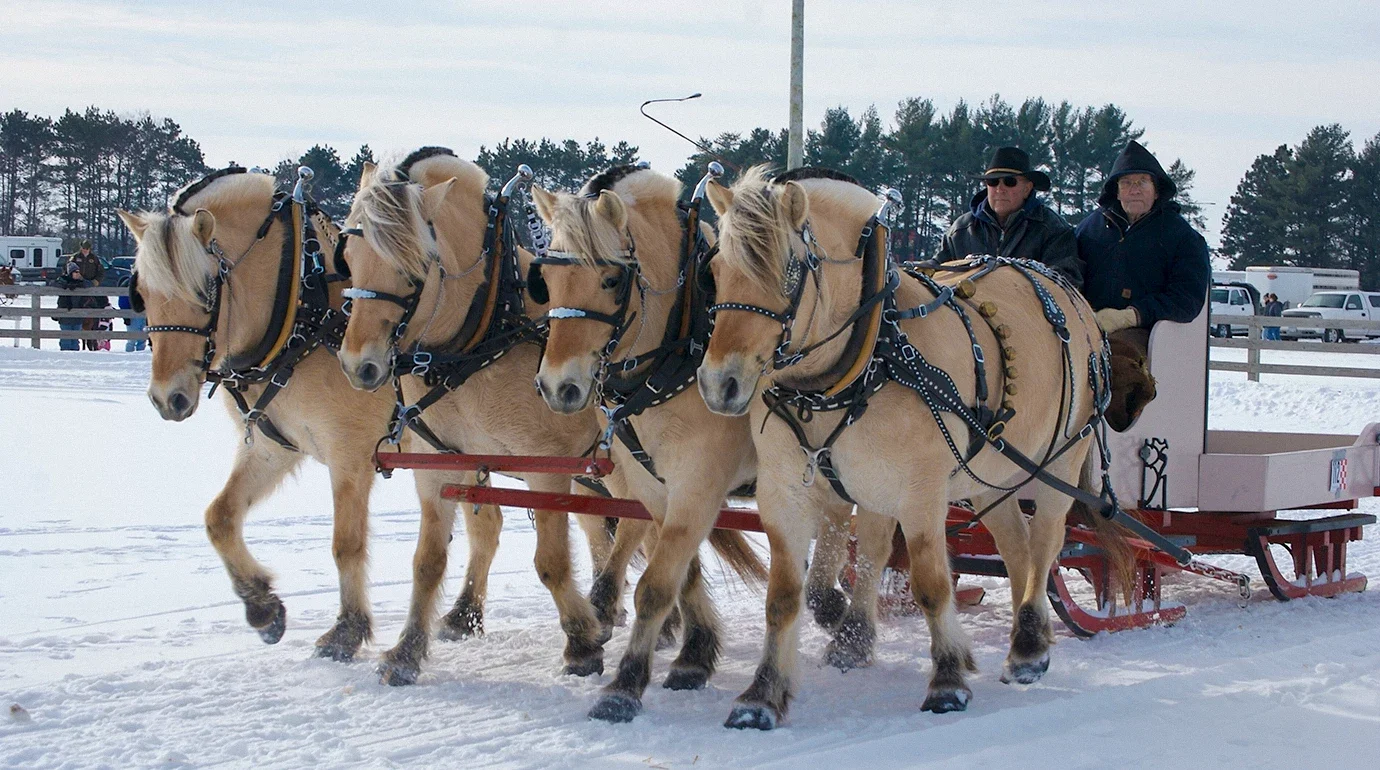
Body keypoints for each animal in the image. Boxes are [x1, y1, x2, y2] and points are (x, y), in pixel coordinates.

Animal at [115, 169, 528, 663]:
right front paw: (263, 608)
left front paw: (346, 631)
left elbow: (346, 544)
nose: (167, 398)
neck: (304, 313)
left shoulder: (350, 455)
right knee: (488, 525)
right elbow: (220, 517)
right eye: (140, 293)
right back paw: (464, 615)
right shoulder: (273, 447)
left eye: (204, 290)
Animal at [334, 149, 764, 686]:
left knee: (638, 530)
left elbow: (552, 562)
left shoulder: (548, 465)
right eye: (348, 257)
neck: (480, 336)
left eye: (410, 265)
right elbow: (428, 561)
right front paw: (407, 651)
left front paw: (580, 644)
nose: (359, 365)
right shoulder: (438, 464)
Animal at [697, 166, 1115, 729]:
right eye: (716, 269)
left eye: (788, 271)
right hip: (989, 475)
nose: (720, 384)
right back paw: (1026, 636)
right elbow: (786, 594)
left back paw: (1028, 646)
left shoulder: (921, 491)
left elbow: (932, 584)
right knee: (1016, 547)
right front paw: (762, 695)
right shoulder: (788, 490)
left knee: (1046, 540)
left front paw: (947, 681)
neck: (863, 362)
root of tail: (1067, 291)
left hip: (1060, 460)